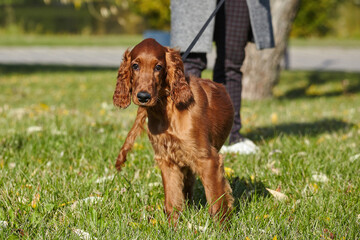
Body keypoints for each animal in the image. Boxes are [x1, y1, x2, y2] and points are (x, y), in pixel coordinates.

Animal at [114, 38, 235, 224]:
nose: (143, 97)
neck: (166, 108)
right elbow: (172, 201)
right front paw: (173, 227)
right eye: (135, 66)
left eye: (158, 67)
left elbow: (216, 201)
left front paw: (222, 228)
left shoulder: (208, 159)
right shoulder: (167, 160)